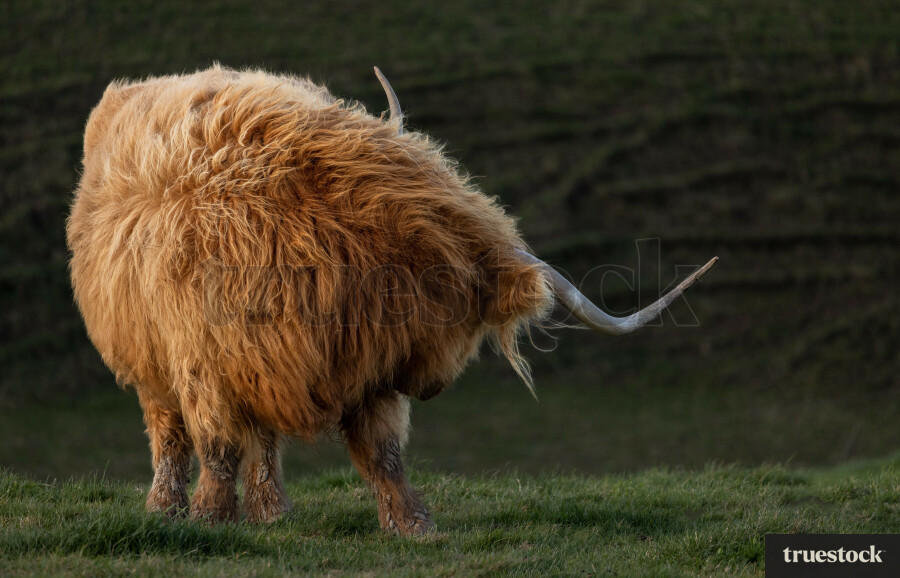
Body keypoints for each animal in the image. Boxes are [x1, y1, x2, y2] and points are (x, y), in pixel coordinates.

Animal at [66, 65, 716, 534]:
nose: (433, 386)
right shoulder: (204, 360)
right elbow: (219, 445)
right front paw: (209, 521)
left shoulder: (365, 372)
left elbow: (383, 454)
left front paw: (413, 525)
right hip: (150, 360)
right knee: (170, 433)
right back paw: (166, 510)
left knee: (266, 442)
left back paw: (273, 513)